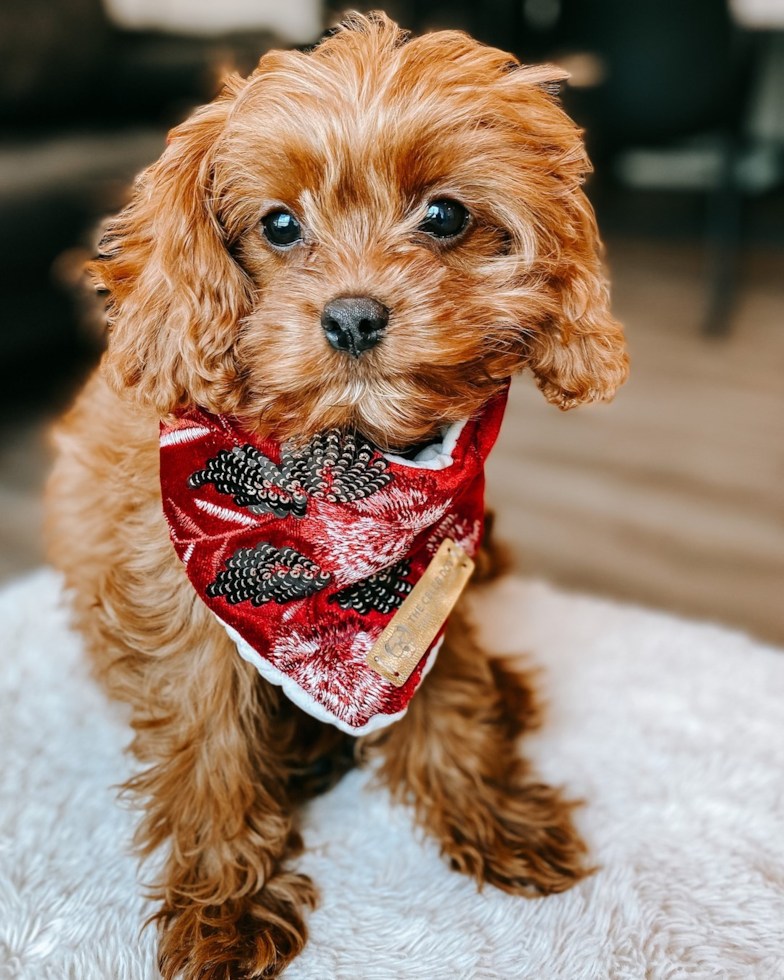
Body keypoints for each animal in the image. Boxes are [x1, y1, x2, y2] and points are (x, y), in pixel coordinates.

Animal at [47, 13, 624, 980]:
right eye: (279, 226)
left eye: (445, 215)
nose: (353, 316)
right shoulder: (184, 608)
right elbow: (210, 756)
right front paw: (225, 907)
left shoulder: (434, 567)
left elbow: (446, 685)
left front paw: (487, 810)